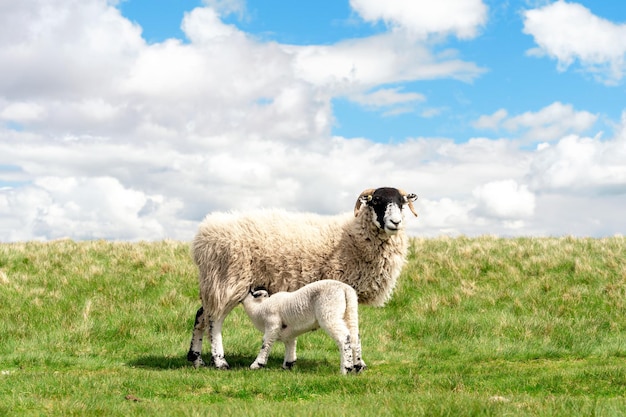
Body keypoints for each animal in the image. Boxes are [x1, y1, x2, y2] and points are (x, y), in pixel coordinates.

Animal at [188, 187, 416, 368]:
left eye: (402, 202)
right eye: (376, 201)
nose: (395, 222)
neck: (353, 235)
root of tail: (203, 234)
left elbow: (354, 328)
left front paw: (359, 363)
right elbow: (352, 330)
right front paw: (355, 363)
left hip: (215, 282)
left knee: (201, 314)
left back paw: (196, 358)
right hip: (228, 280)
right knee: (215, 320)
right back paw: (219, 361)